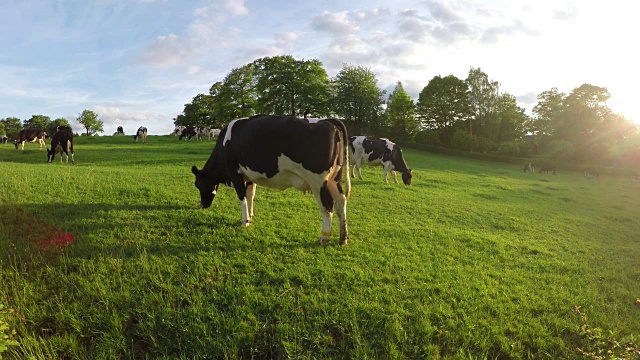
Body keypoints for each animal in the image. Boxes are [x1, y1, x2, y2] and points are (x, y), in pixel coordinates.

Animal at [191, 114, 350, 245]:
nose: (203, 204)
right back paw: (343, 238)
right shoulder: (249, 176)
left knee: (328, 207)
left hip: (318, 182)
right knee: (341, 202)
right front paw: (251, 215)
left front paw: (245, 221)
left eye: (198, 185)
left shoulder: (235, 173)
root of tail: (328, 121)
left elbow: (242, 197)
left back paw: (324, 237)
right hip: (334, 180)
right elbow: (250, 195)